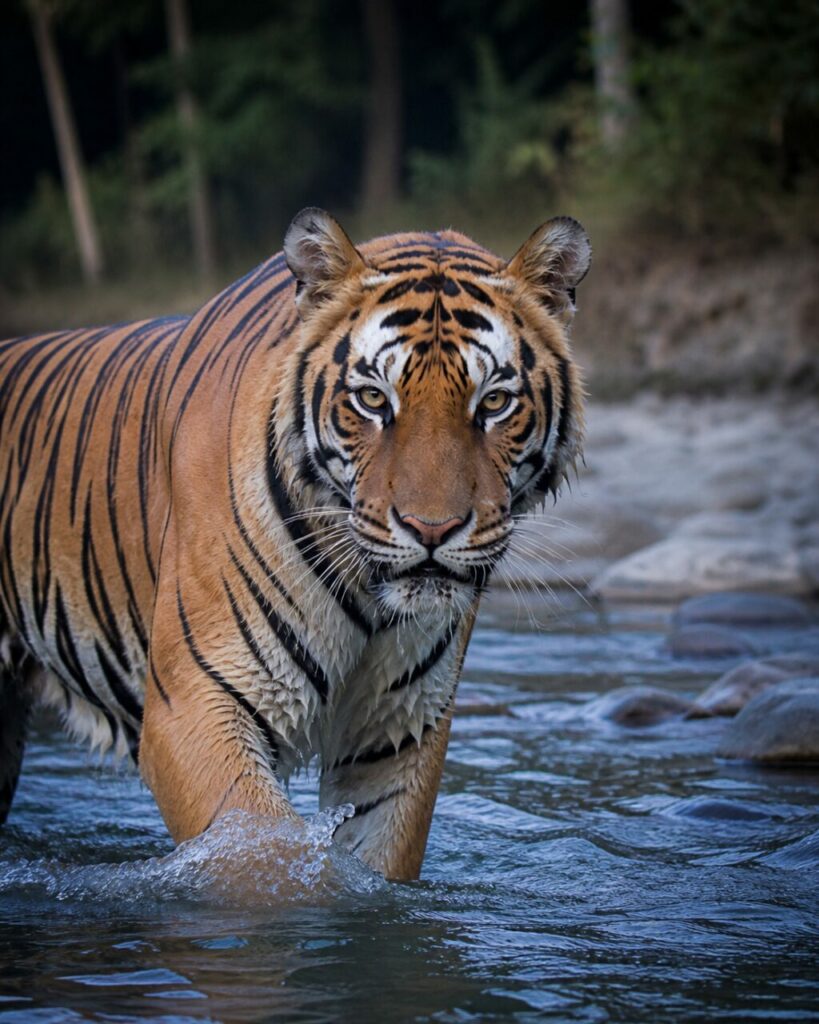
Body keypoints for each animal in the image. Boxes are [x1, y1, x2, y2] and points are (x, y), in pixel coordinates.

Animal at [0, 209, 590, 881]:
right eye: (373, 398)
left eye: (493, 402)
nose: (431, 530)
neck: (370, 597)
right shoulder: (196, 704)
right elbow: (267, 864)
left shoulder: (397, 733)